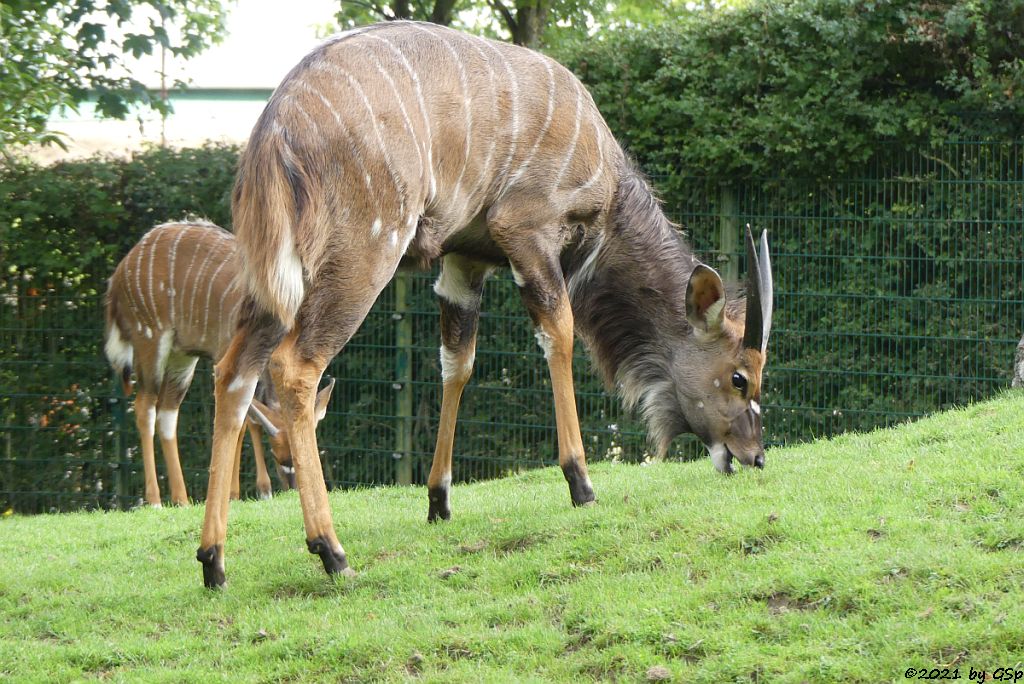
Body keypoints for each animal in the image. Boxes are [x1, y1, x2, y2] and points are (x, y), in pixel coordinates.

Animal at [102, 222, 331, 505]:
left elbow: (248, 419)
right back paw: (154, 500)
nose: (291, 487)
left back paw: (182, 498)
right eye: (278, 455)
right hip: (150, 341)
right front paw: (239, 492)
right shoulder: (228, 355)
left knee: (168, 413)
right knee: (144, 407)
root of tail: (119, 274)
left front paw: (253, 490)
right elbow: (241, 418)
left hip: (182, 358)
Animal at [197, 21, 774, 589]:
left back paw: (213, 562)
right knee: (295, 367)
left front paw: (439, 499)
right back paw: (331, 552)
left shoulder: (464, 262)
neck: (608, 183)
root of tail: (275, 128)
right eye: (740, 377)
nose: (755, 454)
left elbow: (458, 363)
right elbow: (559, 334)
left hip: (272, 282)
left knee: (233, 373)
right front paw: (581, 482)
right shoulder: (526, 230)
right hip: (363, 257)